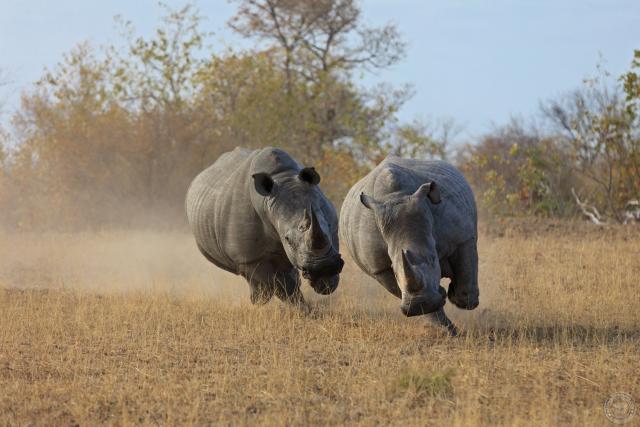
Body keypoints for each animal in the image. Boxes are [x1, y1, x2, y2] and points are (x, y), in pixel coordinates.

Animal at [186, 147, 344, 308]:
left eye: (329, 225)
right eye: (287, 239)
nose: (323, 267)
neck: (283, 177)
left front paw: (323, 287)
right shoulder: (249, 257)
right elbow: (271, 282)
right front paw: (268, 303)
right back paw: (258, 299)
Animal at [339, 156, 479, 335]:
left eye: (433, 259)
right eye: (394, 270)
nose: (420, 303)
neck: (395, 196)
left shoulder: (462, 237)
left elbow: (466, 267)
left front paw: (460, 299)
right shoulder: (379, 267)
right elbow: (396, 285)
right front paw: (434, 306)